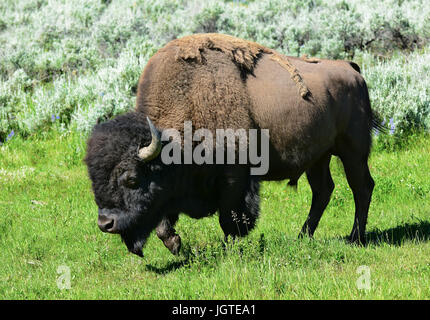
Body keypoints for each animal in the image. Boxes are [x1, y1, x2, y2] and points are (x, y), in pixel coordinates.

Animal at [85, 33, 380, 258]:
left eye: (132, 179)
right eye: (93, 180)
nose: (105, 223)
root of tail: (351, 69)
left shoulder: (235, 177)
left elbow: (229, 219)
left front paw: (230, 250)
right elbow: (163, 222)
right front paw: (176, 246)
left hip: (353, 150)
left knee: (361, 187)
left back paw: (355, 238)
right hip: (318, 157)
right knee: (323, 190)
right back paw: (302, 236)